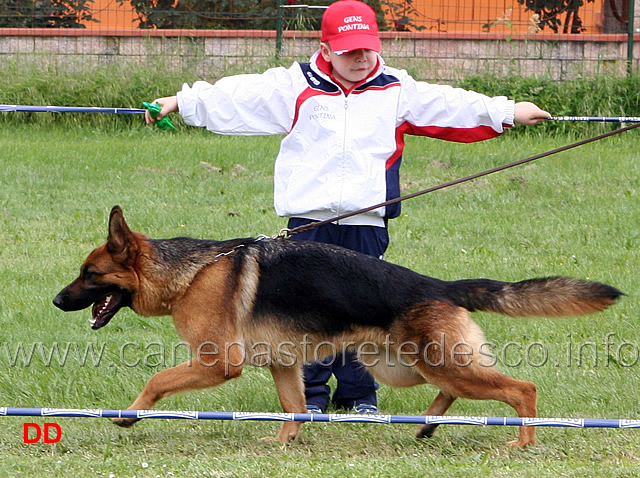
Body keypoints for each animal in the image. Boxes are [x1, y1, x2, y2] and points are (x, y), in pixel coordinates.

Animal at [52, 206, 624, 448]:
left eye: (89, 275)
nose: (56, 300)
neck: (189, 273)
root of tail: (439, 284)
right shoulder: (282, 365)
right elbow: (296, 408)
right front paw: (285, 441)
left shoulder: (217, 364)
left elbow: (156, 379)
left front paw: (129, 415)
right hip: (403, 367)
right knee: (455, 391)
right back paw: (427, 425)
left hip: (434, 364)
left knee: (523, 388)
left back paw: (522, 443)